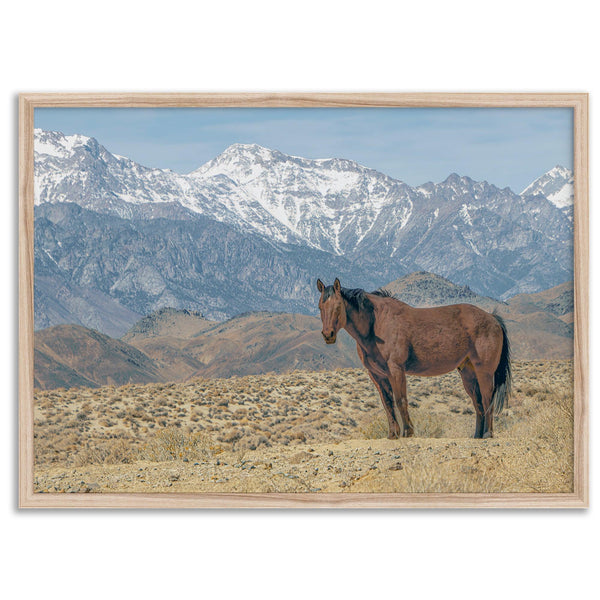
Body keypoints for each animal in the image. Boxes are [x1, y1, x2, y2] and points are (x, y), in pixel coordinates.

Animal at [314, 278, 510, 438]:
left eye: (338, 306)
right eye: (320, 307)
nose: (328, 335)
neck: (376, 324)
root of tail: (493, 318)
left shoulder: (396, 370)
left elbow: (401, 400)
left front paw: (408, 432)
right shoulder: (377, 375)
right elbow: (387, 403)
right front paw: (393, 434)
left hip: (484, 371)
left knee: (487, 398)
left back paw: (488, 434)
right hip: (468, 372)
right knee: (478, 402)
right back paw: (477, 435)